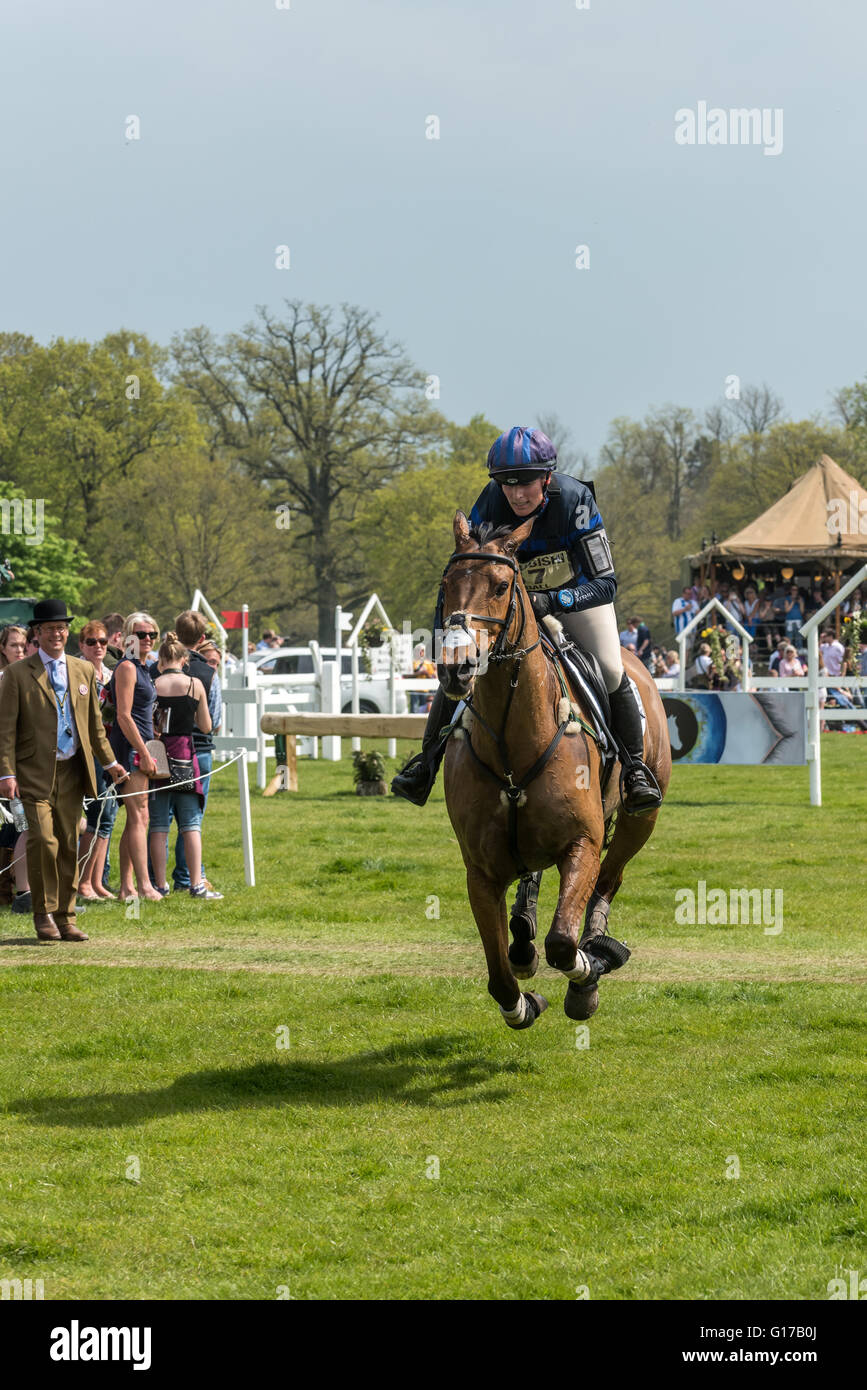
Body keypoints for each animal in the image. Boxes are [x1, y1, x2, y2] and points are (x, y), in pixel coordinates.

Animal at [439, 511, 669, 1034]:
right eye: (446, 585)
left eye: (502, 586)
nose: (456, 669)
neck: (513, 741)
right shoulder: (480, 872)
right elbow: (500, 976)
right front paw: (524, 1003)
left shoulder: (581, 844)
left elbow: (564, 943)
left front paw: (591, 973)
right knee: (531, 888)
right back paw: (524, 933)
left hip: (639, 819)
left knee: (609, 880)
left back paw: (596, 940)